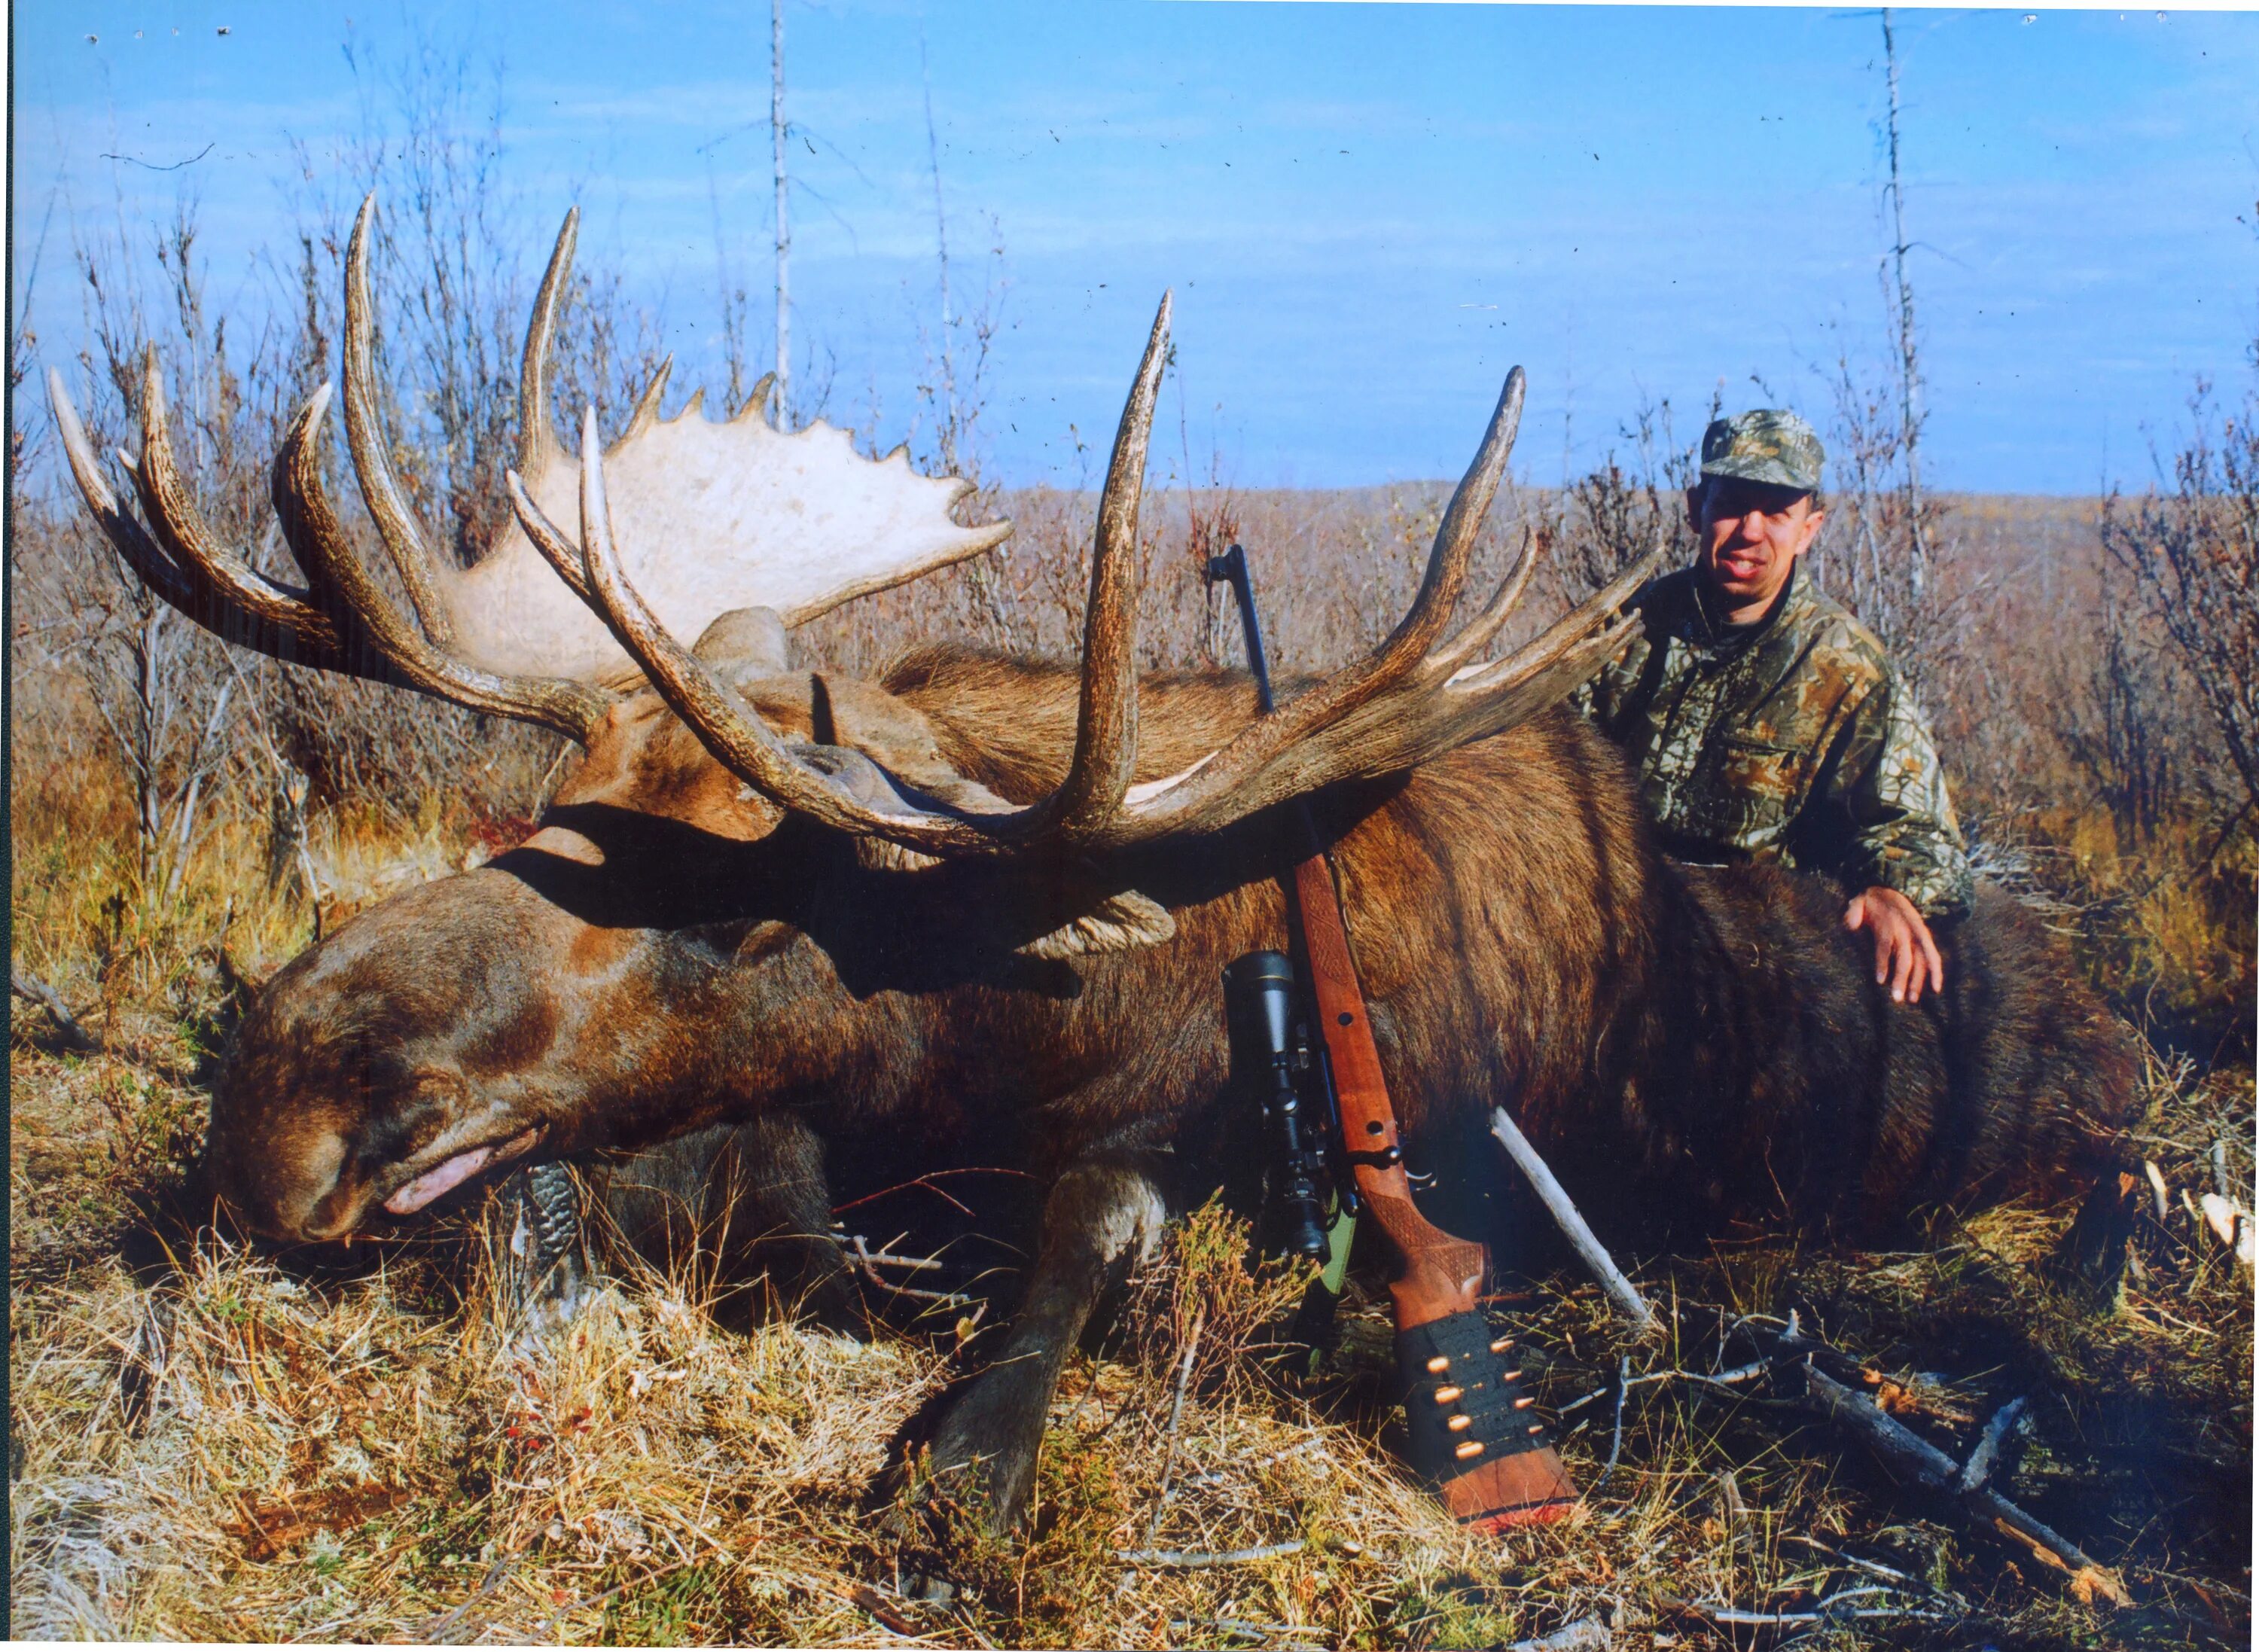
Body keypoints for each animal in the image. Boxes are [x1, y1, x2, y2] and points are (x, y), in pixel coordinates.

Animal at [53, 200, 2132, 1545]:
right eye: (540, 808)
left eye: (750, 905)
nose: (286, 1092)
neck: (990, 1021)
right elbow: (763, 1207)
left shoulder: (1167, 1143)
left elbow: (1045, 1315)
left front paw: (957, 1451)